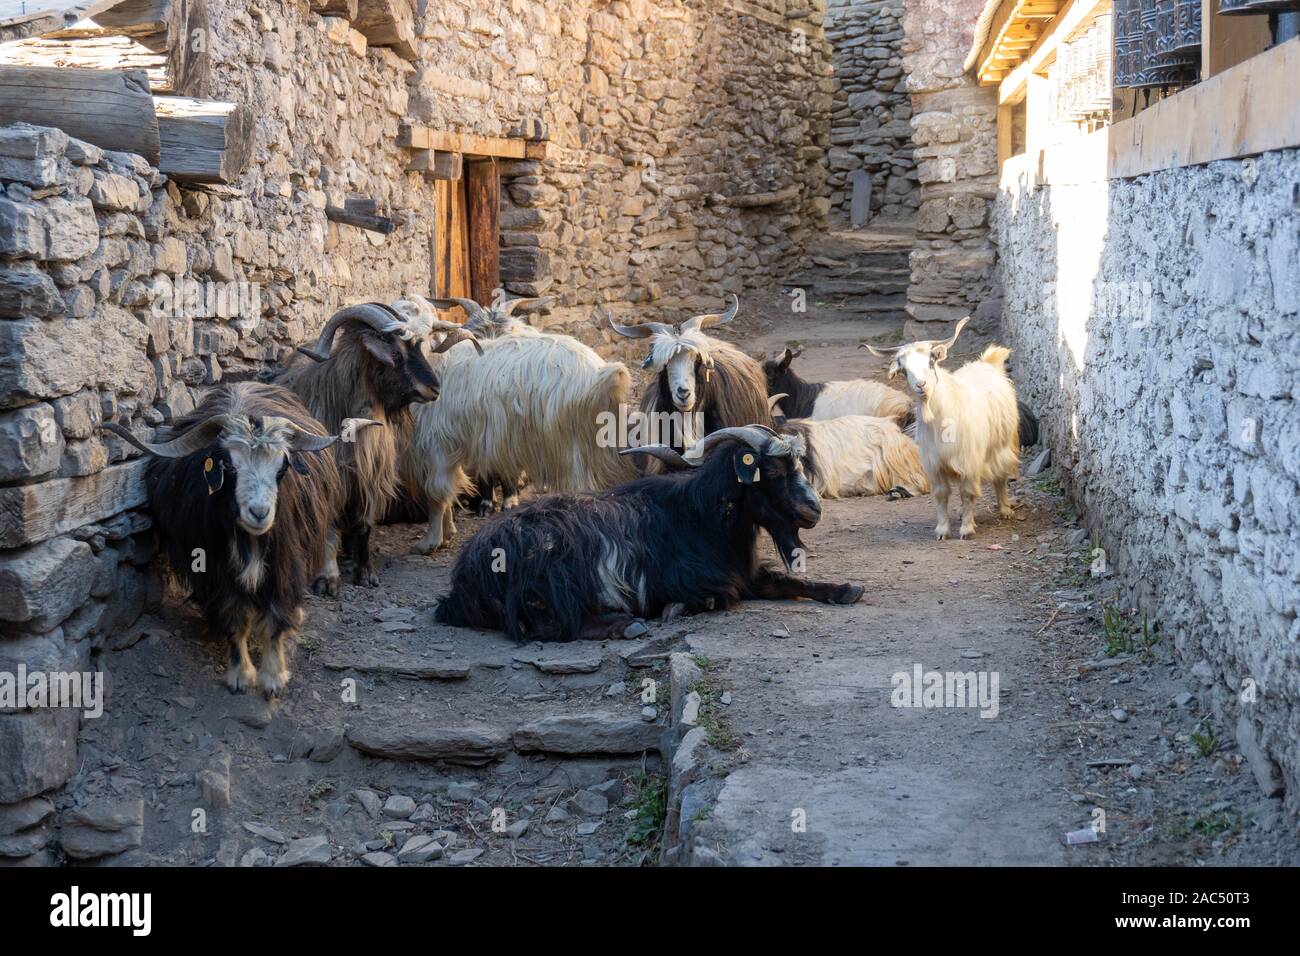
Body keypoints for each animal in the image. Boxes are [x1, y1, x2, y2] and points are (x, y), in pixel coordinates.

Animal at [395, 297, 639, 554]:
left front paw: (429, 542)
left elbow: (436, 492)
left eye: (425, 332)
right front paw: (448, 532)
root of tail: (602, 373)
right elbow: (452, 488)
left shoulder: (438, 443)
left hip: (569, 445)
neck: (437, 365)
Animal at [434, 426, 863, 642]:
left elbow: (785, 581)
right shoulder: (694, 579)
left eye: (798, 465)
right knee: (552, 626)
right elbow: (718, 596)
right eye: (771, 471)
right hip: (556, 572)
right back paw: (627, 625)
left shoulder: (745, 573)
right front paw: (675, 609)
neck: (701, 517)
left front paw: (846, 589)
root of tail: (465, 576)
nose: (814, 508)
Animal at [868, 319, 1019, 538]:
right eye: (904, 369)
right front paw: (942, 530)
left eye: (931, 362)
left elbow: (967, 493)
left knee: (1000, 476)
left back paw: (1005, 509)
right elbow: (941, 495)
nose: (921, 385)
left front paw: (966, 530)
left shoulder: (969, 460)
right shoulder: (935, 463)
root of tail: (987, 363)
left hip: (1002, 445)